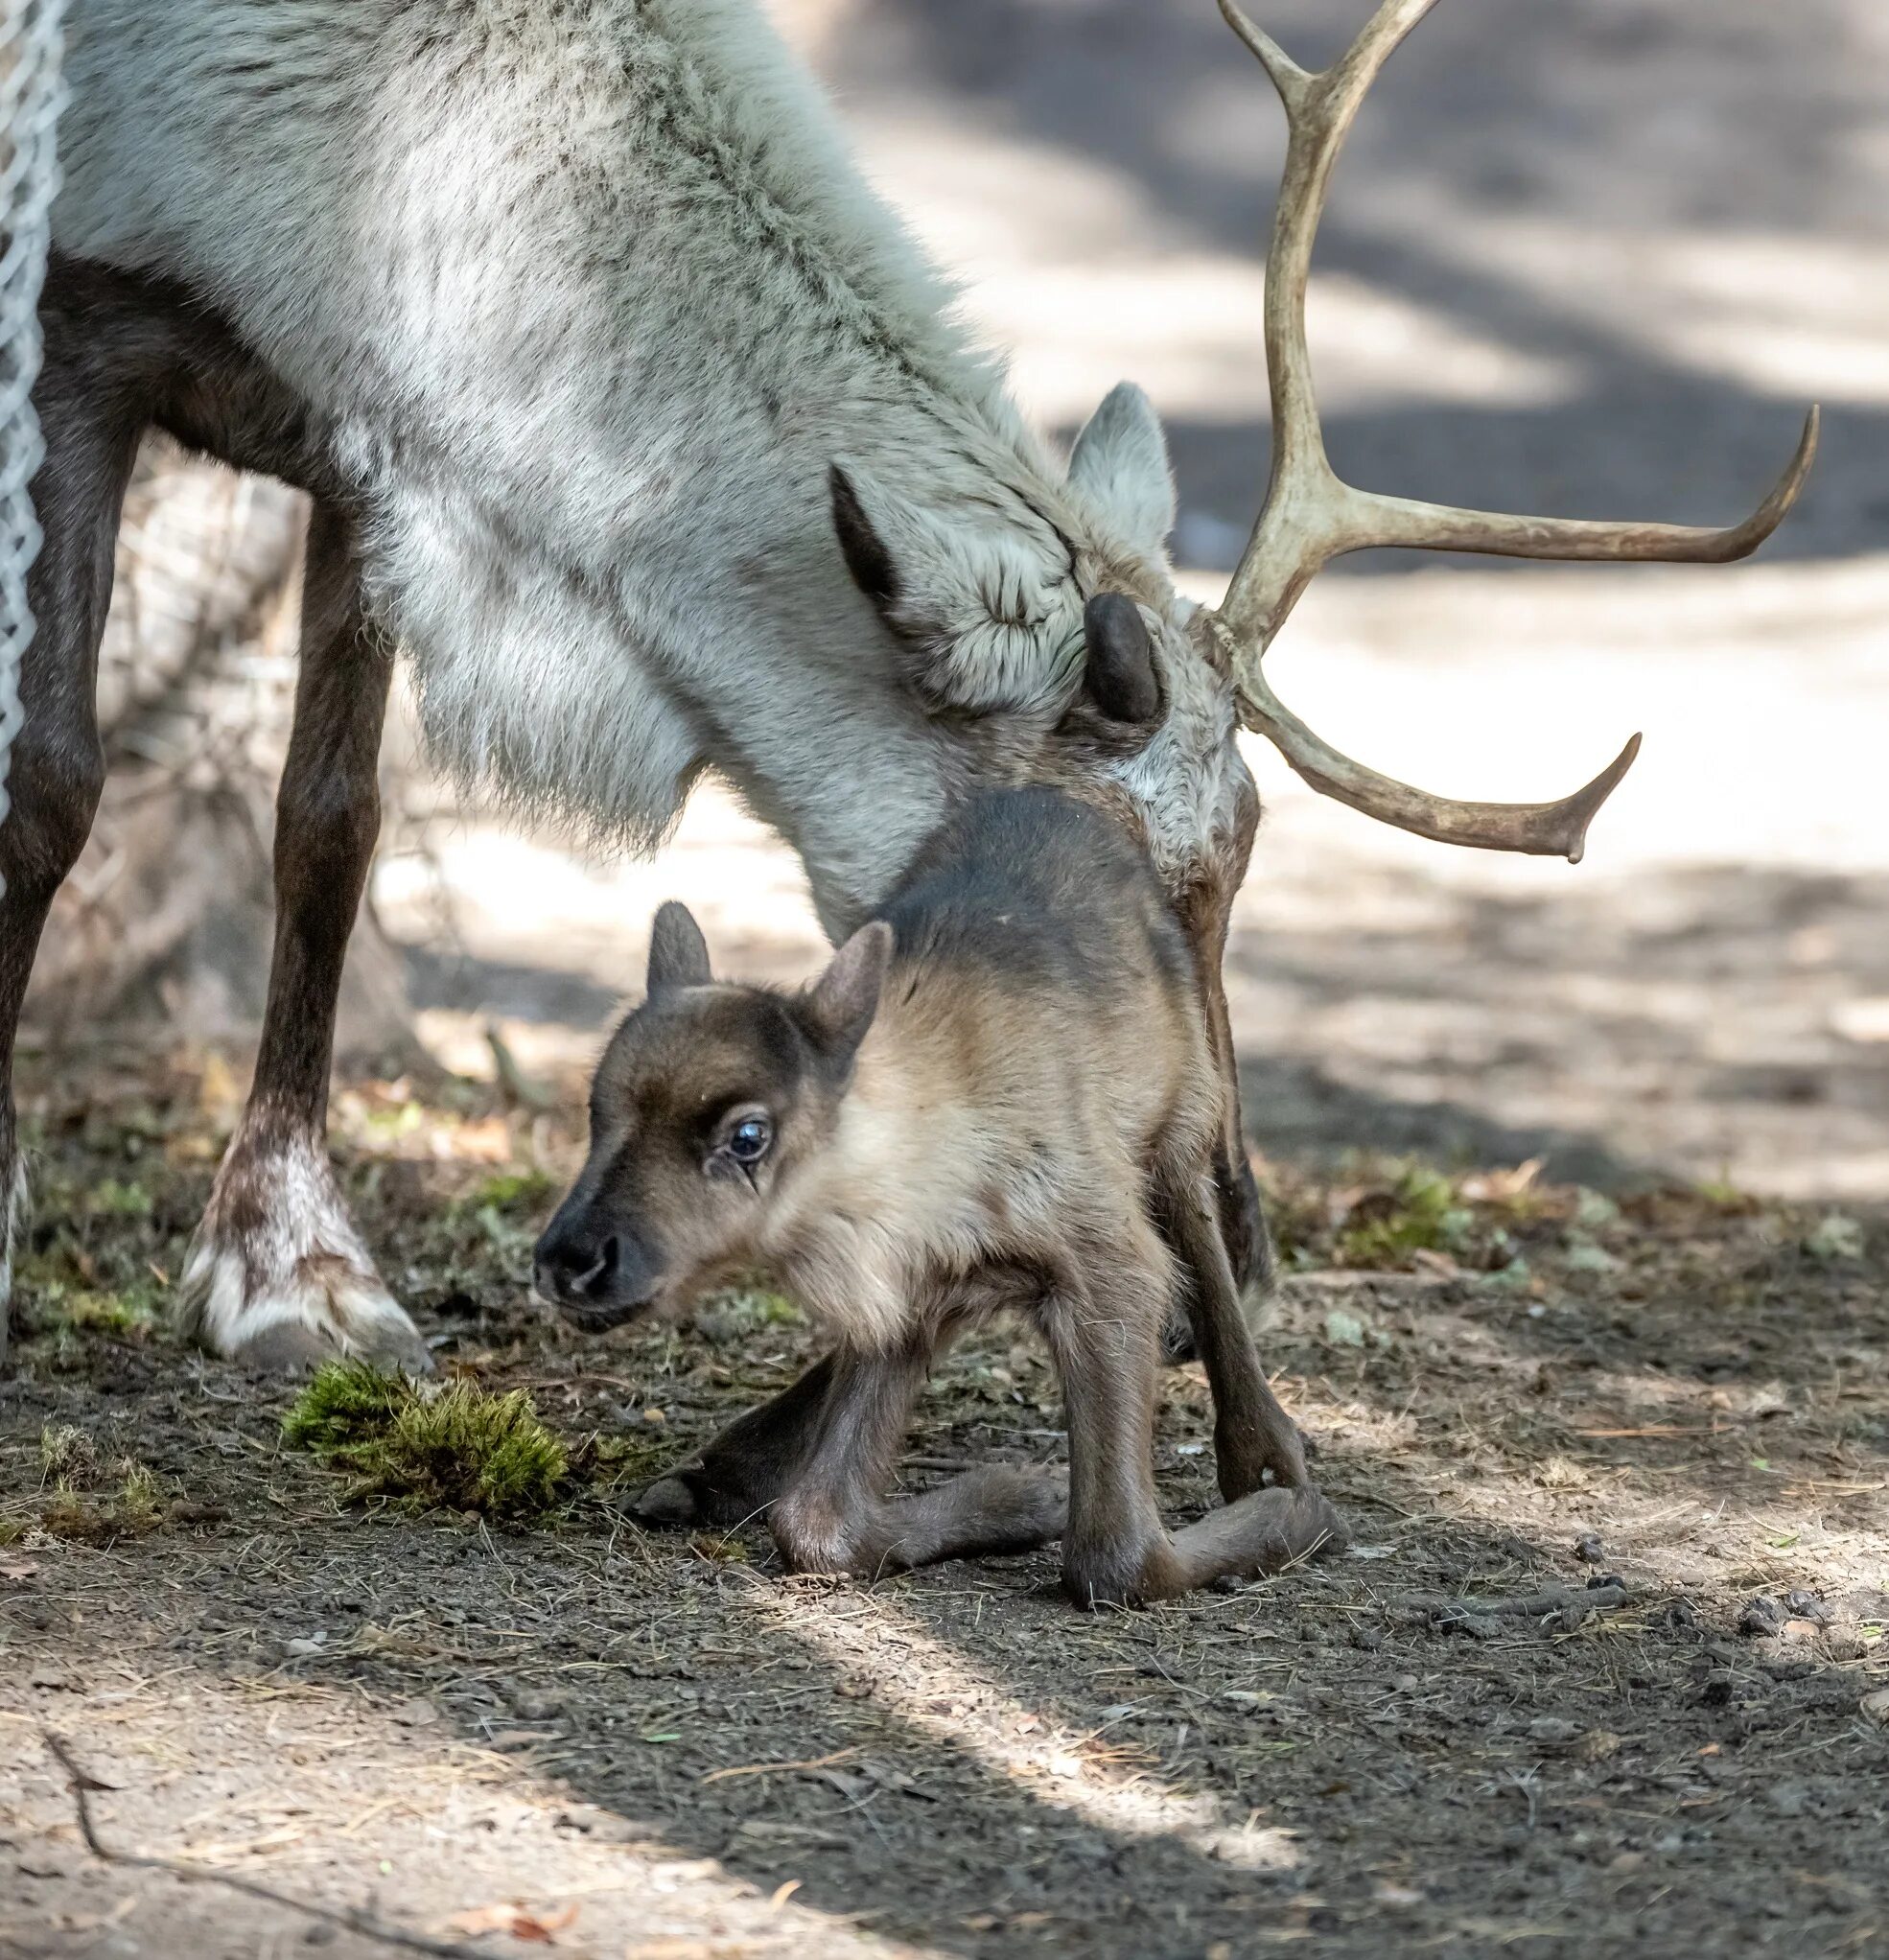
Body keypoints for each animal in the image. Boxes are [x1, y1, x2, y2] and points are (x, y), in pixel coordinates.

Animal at [536, 783, 1340, 1607]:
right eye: (597, 1108)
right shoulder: (904, 1300)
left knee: (1209, 1249)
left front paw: (1296, 1513)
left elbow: (1117, 1557)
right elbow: (817, 1521)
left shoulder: (1111, 1266)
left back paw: (1269, 1458)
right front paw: (1028, 1495)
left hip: (1181, 1118)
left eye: (749, 1135)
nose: (571, 1260)